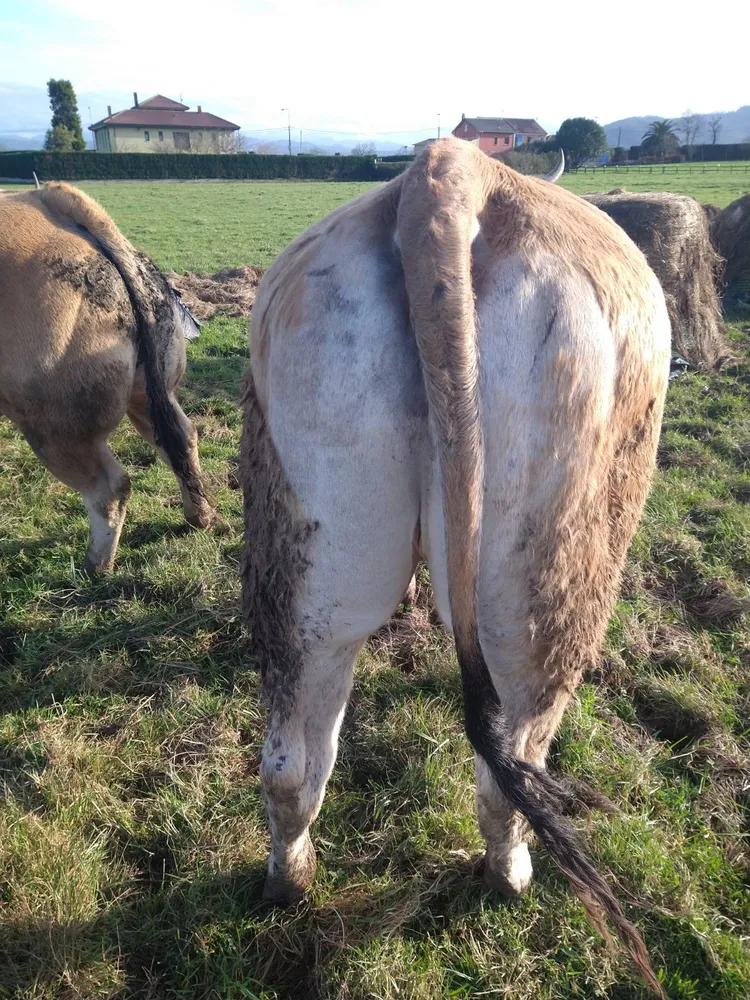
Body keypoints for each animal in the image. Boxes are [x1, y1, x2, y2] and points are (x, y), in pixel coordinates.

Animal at [0, 183, 214, 573]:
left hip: (56, 427)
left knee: (109, 488)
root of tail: (52, 200)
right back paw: (199, 517)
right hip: (151, 393)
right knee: (182, 440)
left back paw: (95, 566)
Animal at [240, 139, 669, 992]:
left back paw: (289, 881)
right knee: (514, 763)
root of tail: (450, 171)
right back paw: (510, 877)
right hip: (547, 586)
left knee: (292, 759)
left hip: (311, 551)